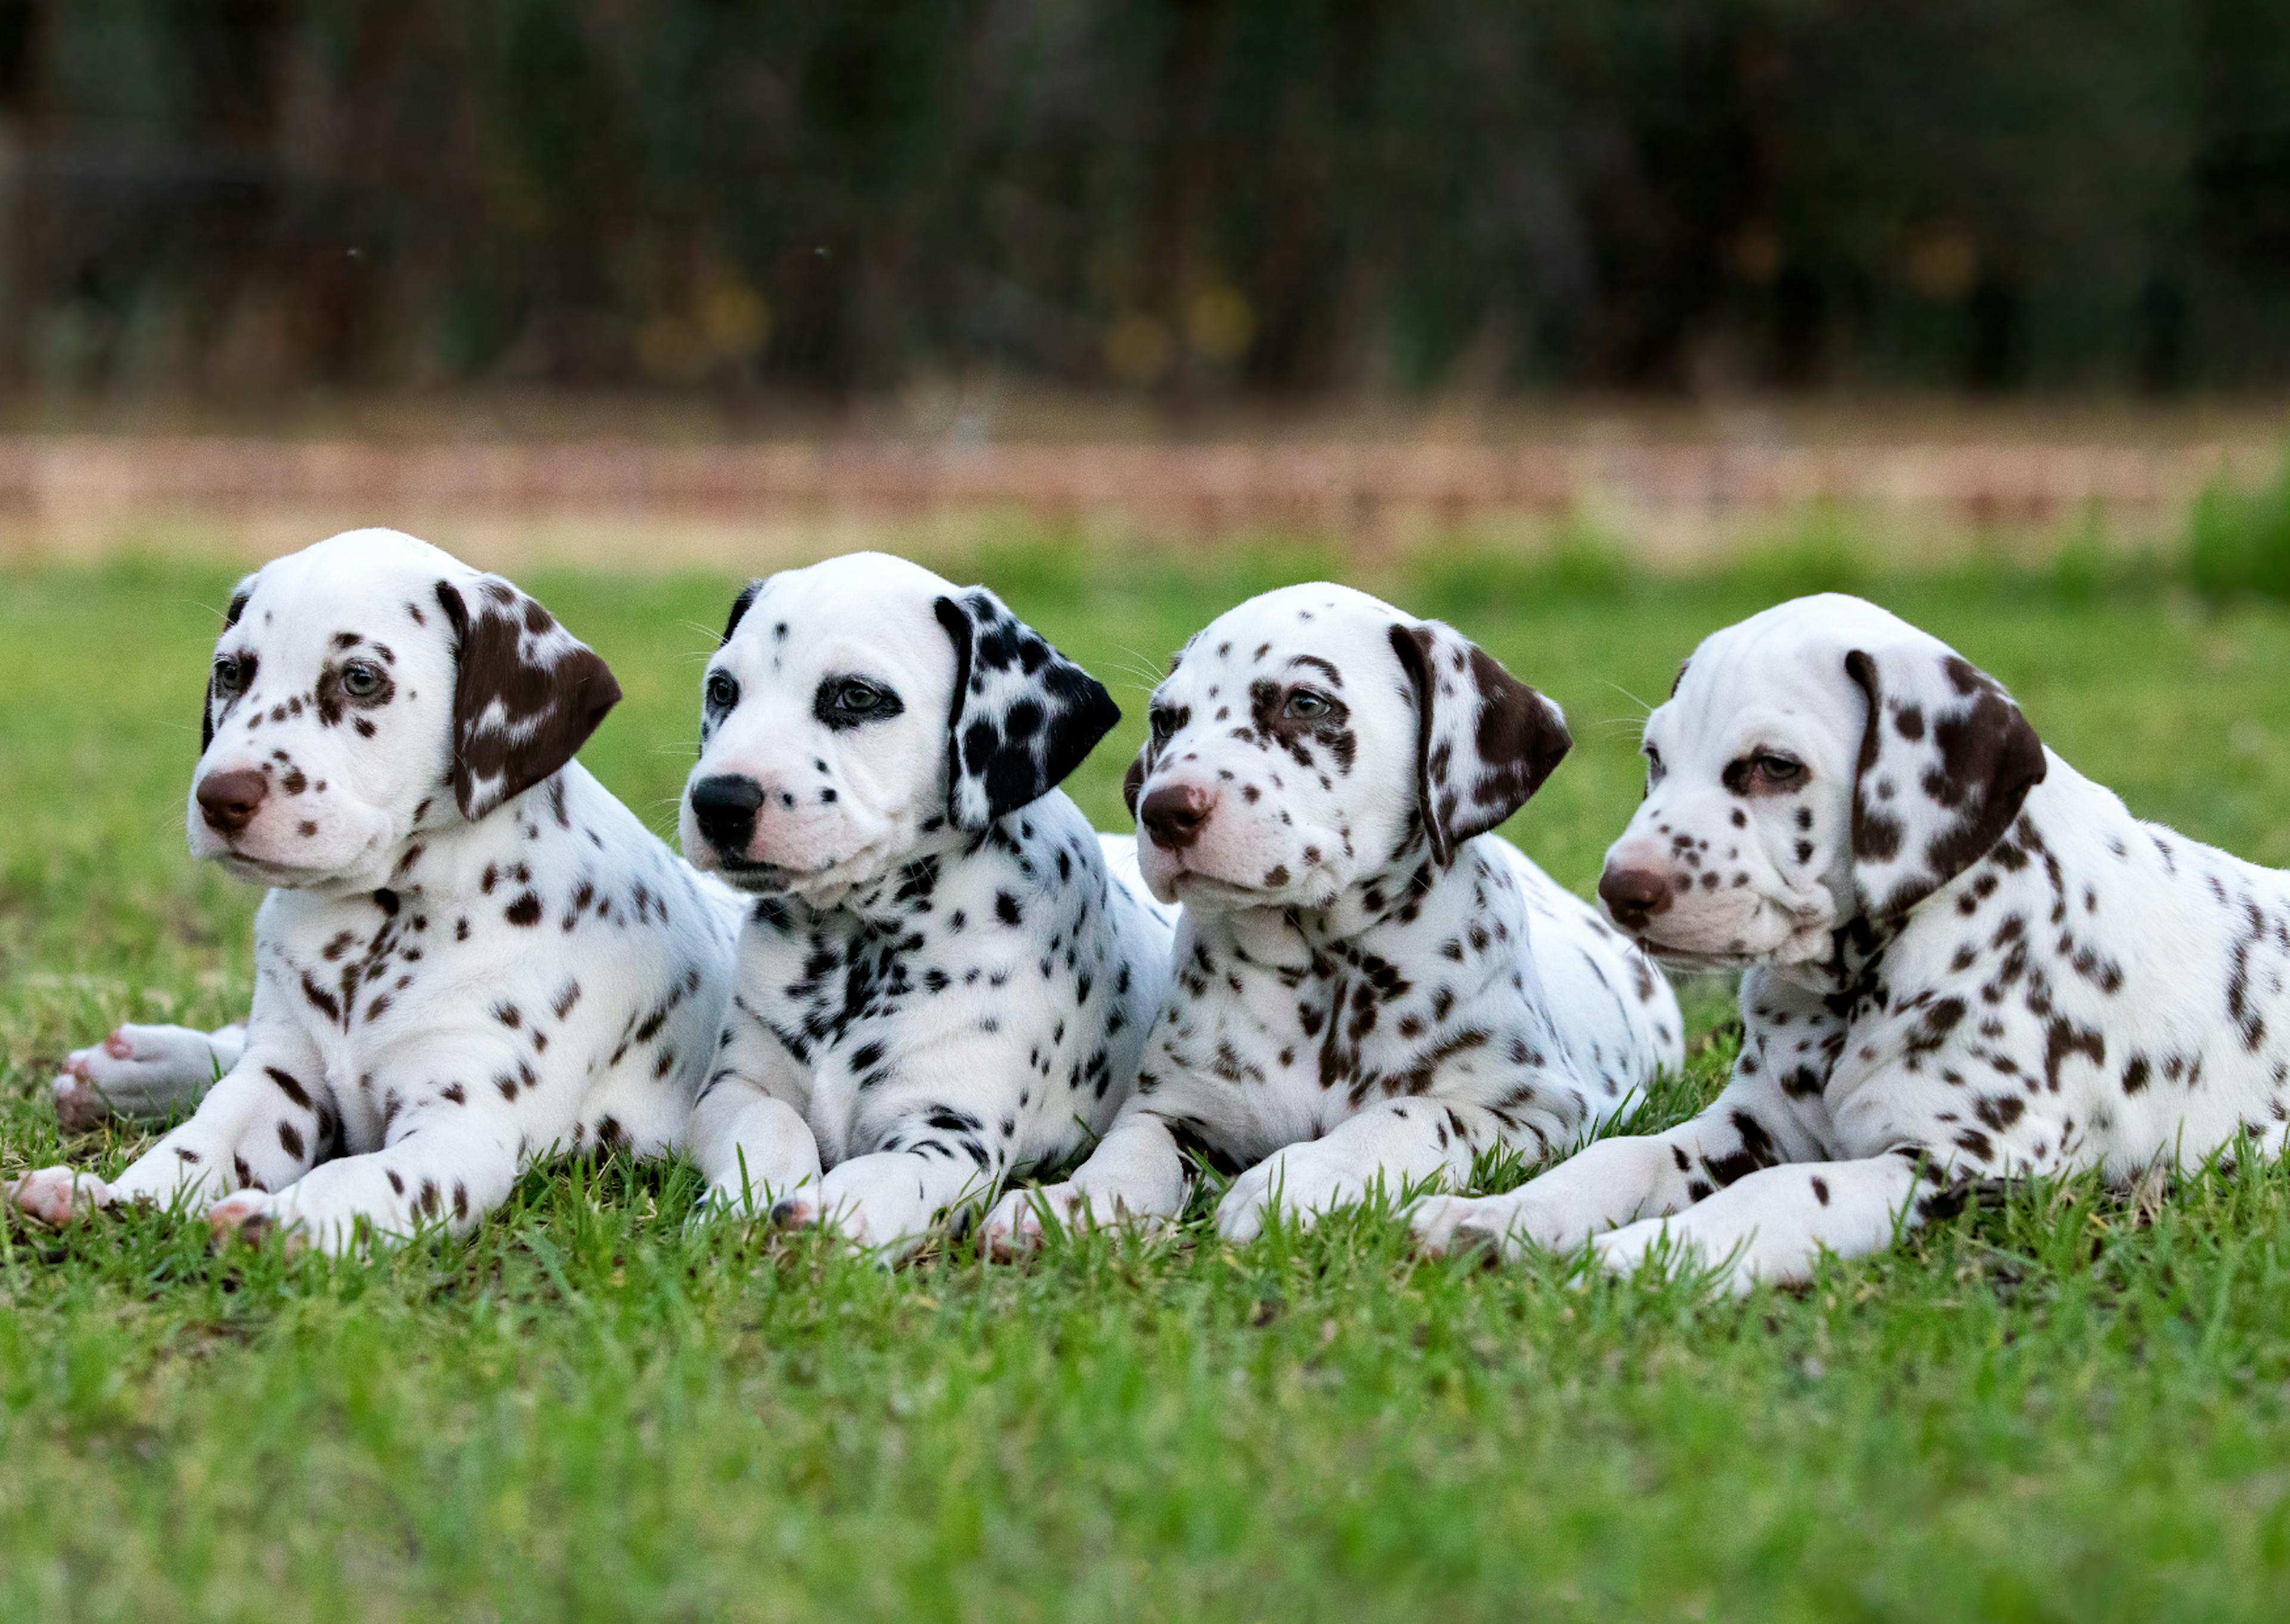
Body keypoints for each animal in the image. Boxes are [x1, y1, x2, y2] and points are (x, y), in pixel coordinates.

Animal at [7, 526, 742, 1246]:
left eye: (360, 679)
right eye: (231, 672)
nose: (219, 797)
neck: (381, 925)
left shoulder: (459, 1129)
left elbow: (358, 1178)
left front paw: (282, 1221)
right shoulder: (280, 1080)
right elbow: (201, 1140)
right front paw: (111, 1196)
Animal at [664, 554, 1163, 1255]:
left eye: (857, 696)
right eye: (723, 691)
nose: (718, 801)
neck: (859, 946)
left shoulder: (952, 1137)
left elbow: (888, 1175)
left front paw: (832, 1217)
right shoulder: (736, 1089)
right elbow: (769, 1122)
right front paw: (742, 1201)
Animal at [975, 591, 1694, 1246]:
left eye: (1306, 703)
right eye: (1166, 719)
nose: (1164, 810)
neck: (1326, 974)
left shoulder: (1542, 1109)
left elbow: (1410, 1115)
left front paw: (1298, 1179)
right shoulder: (1173, 1107)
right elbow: (1130, 1150)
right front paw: (1074, 1204)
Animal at [1410, 591, 2290, 1282]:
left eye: (1775, 766)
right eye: (1656, 757)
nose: (1622, 889)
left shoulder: (1964, 1167)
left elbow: (1785, 1193)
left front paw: (1644, 1255)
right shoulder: (1755, 1122)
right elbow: (1625, 1153)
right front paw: (1499, 1216)